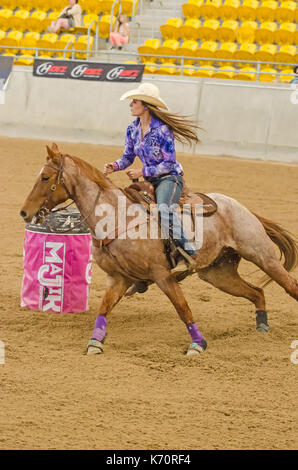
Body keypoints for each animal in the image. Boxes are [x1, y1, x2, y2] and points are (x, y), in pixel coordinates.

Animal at [19, 143, 296, 356]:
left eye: (45, 177)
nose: (24, 212)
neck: (117, 217)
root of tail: (242, 208)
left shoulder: (163, 275)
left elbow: (183, 308)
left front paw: (198, 344)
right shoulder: (118, 278)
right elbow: (104, 307)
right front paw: (95, 343)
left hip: (262, 256)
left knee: (289, 286)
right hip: (219, 274)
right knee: (257, 292)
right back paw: (262, 327)